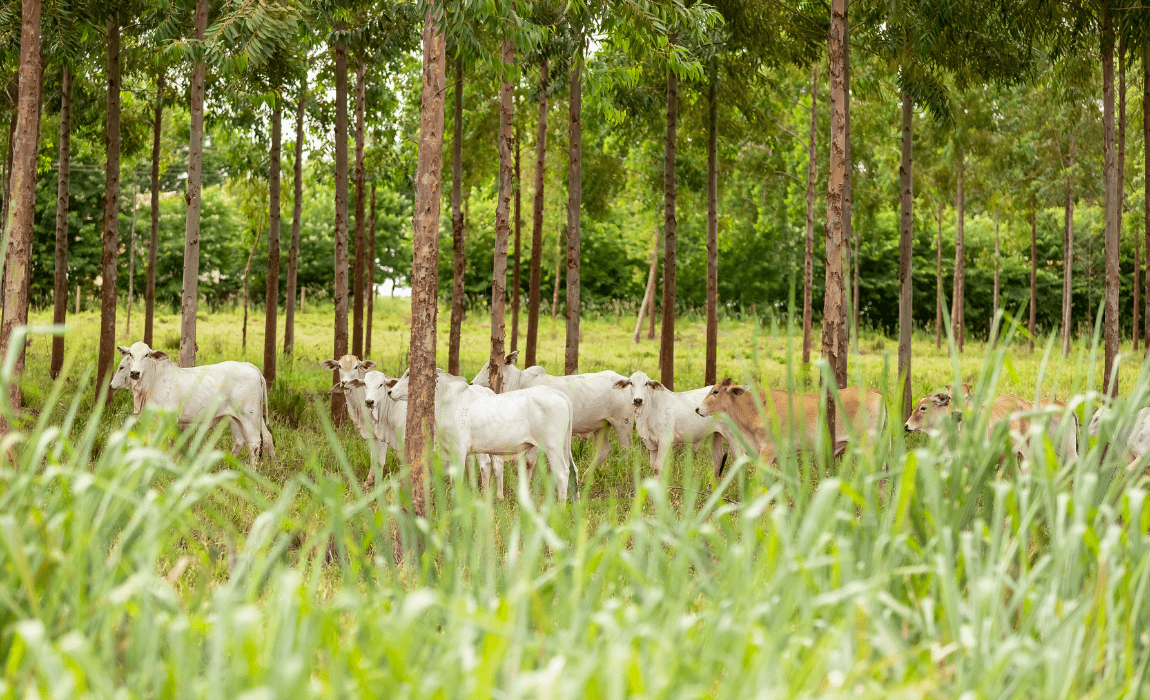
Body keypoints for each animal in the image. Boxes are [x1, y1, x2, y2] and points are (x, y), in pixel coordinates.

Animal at [116, 340, 273, 462]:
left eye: (147, 355)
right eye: (130, 354)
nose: (135, 373)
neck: (153, 381)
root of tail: (251, 367)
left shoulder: (169, 418)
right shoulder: (151, 419)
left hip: (248, 416)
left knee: (254, 443)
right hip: (246, 417)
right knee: (262, 438)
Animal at [391, 367, 579, 498]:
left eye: (409, 374)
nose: (390, 391)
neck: (445, 400)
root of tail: (559, 394)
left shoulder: (459, 450)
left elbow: (458, 478)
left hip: (552, 447)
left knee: (562, 474)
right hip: (563, 446)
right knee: (572, 470)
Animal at [469, 351, 639, 471]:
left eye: (489, 367)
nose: (471, 382)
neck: (520, 382)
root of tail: (627, 381)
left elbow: (531, 462)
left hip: (623, 424)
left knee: (627, 450)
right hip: (601, 426)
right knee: (603, 450)